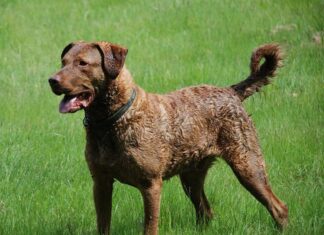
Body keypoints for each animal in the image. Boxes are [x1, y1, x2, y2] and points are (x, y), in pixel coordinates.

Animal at [48, 41, 288, 234]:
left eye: (83, 63)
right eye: (63, 61)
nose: (52, 80)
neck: (112, 121)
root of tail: (231, 92)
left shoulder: (151, 184)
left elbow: (150, 226)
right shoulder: (101, 182)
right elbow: (103, 224)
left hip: (248, 165)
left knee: (279, 208)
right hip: (191, 176)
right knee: (206, 211)